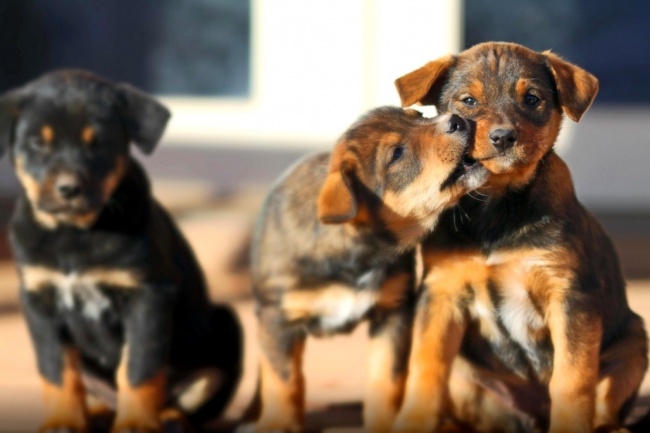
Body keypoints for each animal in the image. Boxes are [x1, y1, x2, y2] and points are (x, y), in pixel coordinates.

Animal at [0, 69, 242, 430]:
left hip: (225, 326)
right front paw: (62, 421)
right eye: (37, 143)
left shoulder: (148, 295)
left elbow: (139, 369)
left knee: (189, 400)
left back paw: (168, 418)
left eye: (97, 142)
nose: (68, 189)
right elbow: (56, 370)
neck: (75, 233)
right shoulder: (38, 299)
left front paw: (137, 424)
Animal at [390, 41, 648, 432]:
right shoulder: (441, 292)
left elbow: (572, 379)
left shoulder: (569, 295)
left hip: (634, 344)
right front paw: (414, 421)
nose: (503, 137)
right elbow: (426, 366)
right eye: (468, 101)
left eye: (532, 99)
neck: (497, 205)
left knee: (604, 406)